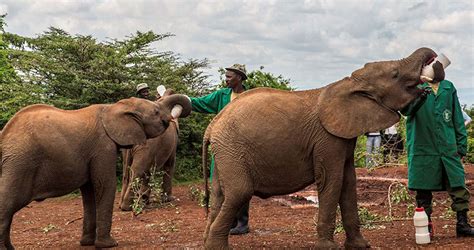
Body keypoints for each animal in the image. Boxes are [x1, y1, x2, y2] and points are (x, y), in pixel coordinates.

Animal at [0, 94, 193, 249]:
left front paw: (87, 243)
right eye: (156, 111)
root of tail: (4, 137)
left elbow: (89, 193)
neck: (114, 107)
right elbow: (104, 185)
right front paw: (109, 244)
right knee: (7, 203)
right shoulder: (103, 147)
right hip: (20, 162)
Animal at [201, 47, 444, 249]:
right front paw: (328, 247)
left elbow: (349, 183)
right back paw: (217, 247)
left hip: (225, 152)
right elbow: (332, 181)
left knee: (219, 195)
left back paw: (207, 241)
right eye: (395, 74)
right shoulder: (327, 139)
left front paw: (360, 246)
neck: (350, 83)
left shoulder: (343, 138)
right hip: (232, 148)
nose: (435, 63)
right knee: (239, 192)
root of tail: (212, 126)